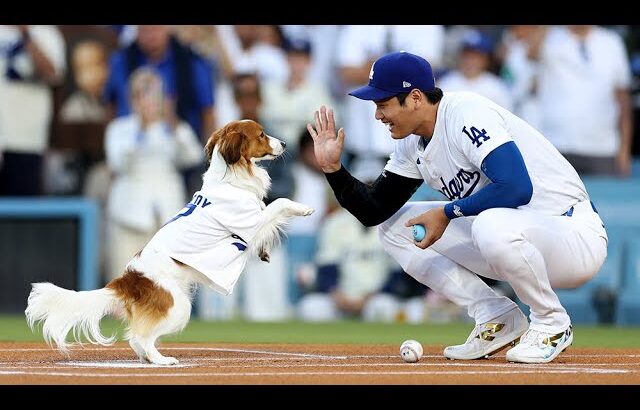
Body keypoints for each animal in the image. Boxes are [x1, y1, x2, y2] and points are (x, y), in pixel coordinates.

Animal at [25, 119, 316, 366]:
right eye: (262, 135)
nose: (285, 143)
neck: (230, 180)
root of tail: (127, 280)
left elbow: (268, 212)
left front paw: (265, 251)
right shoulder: (249, 222)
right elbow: (278, 204)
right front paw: (304, 209)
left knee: (138, 340)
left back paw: (150, 358)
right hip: (179, 307)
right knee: (139, 337)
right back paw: (161, 360)